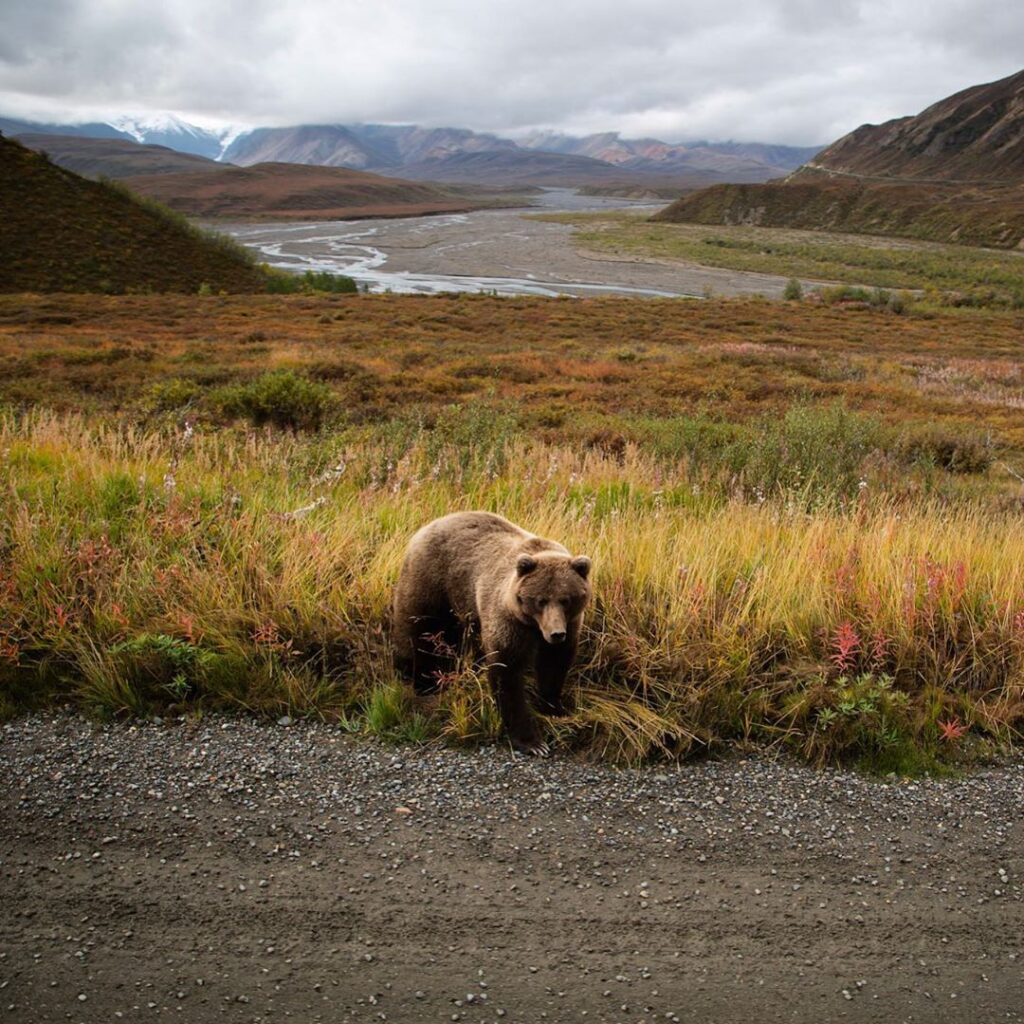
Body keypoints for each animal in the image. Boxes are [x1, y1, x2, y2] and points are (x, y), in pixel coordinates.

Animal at [391, 509, 593, 757]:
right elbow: (506, 671)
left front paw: (555, 708)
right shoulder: (507, 620)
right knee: (418, 629)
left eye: (566, 600)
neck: (532, 625)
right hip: (431, 580)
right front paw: (533, 742)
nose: (556, 633)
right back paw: (420, 680)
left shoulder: (570, 624)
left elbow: (554, 665)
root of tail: (431, 524)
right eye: (540, 600)